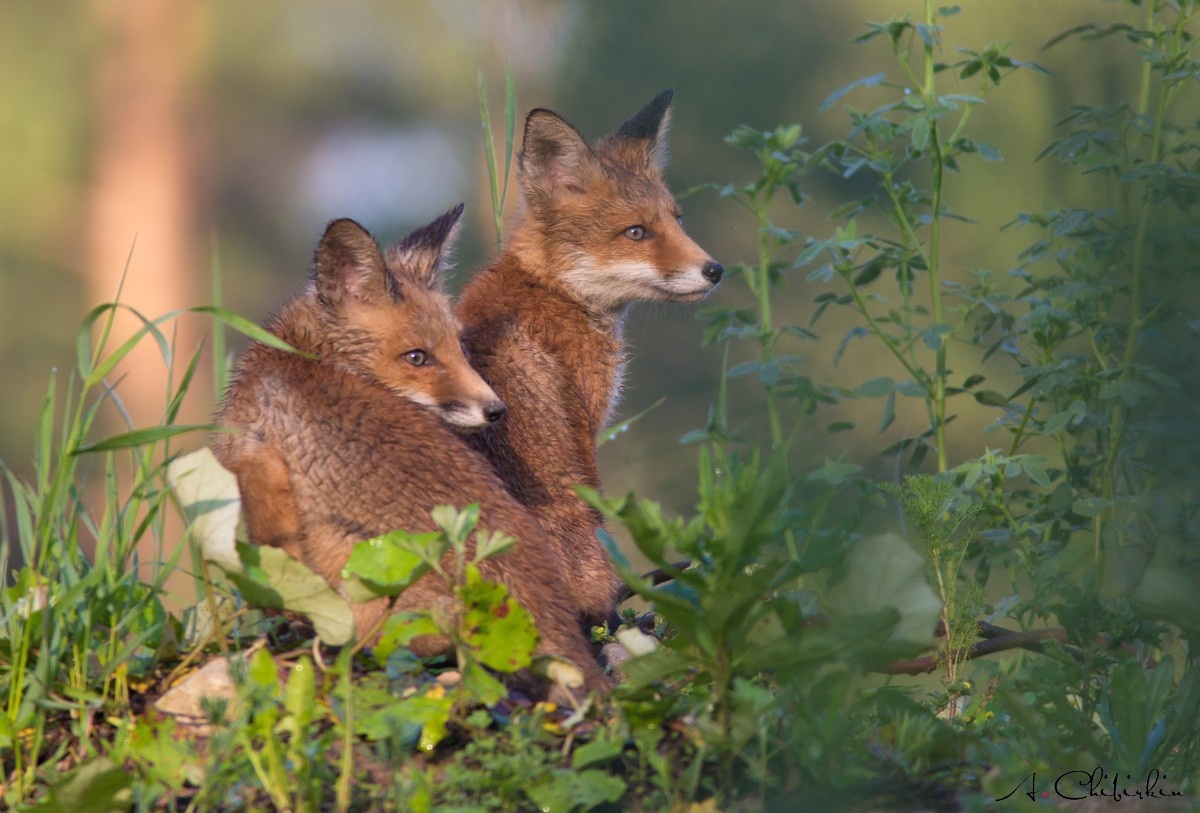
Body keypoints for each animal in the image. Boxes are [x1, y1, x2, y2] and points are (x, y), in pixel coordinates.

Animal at [211, 207, 609, 695]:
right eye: (417, 357)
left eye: (460, 347)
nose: (496, 409)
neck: (306, 355)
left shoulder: (258, 467)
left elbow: (272, 573)